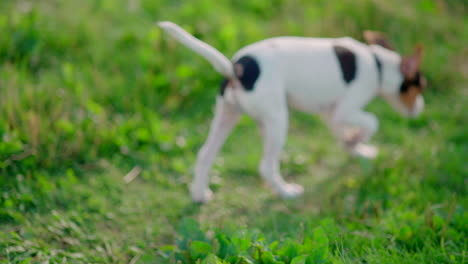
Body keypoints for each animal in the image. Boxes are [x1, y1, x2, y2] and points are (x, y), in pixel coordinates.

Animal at [158, 21, 428, 202]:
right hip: (278, 122)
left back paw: (199, 194)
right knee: (267, 166)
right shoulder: (345, 109)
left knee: (205, 155)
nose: (421, 108)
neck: (377, 64)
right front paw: (357, 141)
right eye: (421, 86)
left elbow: (342, 133)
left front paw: (356, 148)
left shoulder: (330, 113)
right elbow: (372, 121)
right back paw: (286, 191)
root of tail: (236, 68)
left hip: (228, 115)